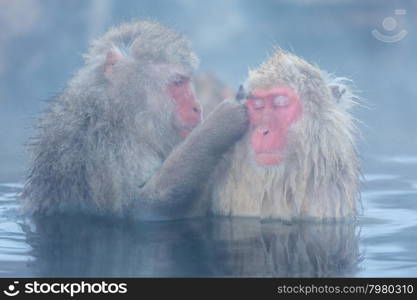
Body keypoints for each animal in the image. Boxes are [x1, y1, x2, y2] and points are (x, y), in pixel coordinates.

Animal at [22, 20, 249, 218]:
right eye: (178, 82)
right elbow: (139, 209)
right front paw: (219, 126)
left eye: (187, 82)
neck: (121, 116)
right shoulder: (106, 152)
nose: (197, 107)